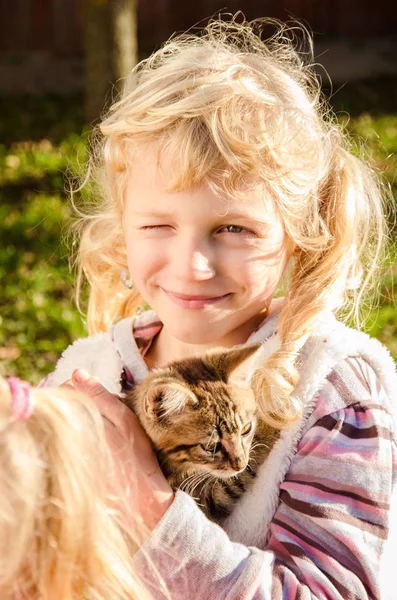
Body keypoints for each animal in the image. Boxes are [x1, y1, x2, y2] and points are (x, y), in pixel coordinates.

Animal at [124, 344, 278, 524]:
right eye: (211, 447)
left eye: (246, 429)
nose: (241, 464)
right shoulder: (203, 496)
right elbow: (234, 481)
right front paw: (272, 426)